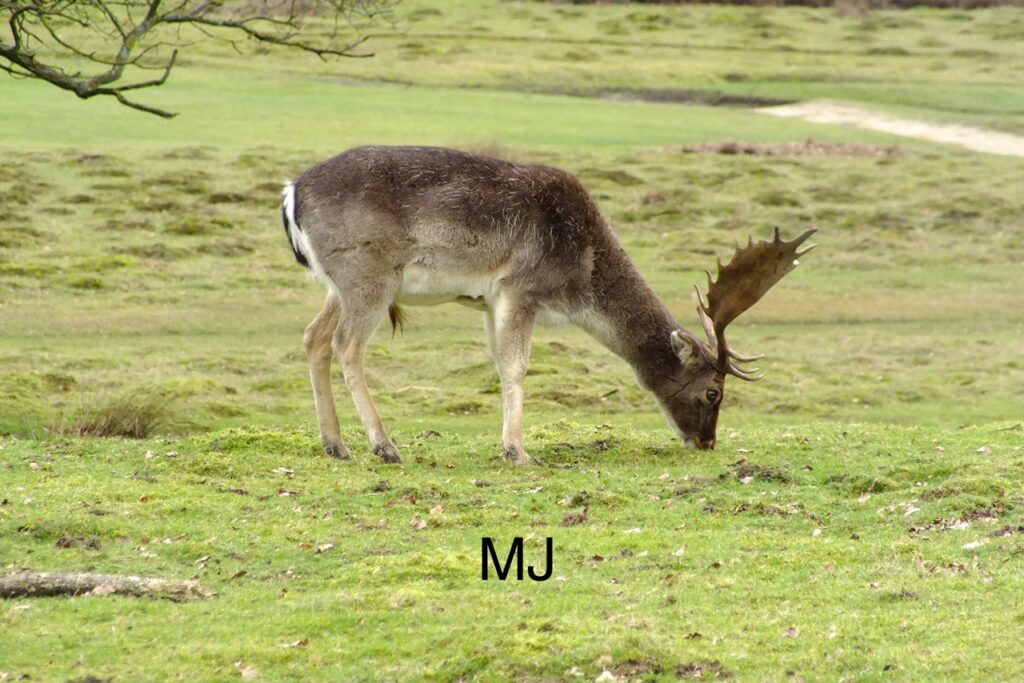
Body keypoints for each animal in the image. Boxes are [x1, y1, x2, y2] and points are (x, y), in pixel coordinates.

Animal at [281, 146, 816, 465]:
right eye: (712, 392)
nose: (707, 442)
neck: (580, 274)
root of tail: (291, 194)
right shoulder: (521, 286)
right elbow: (516, 367)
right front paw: (517, 451)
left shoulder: (488, 301)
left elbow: (501, 364)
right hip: (368, 274)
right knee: (347, 346)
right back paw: (384, 445)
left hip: (338, 285)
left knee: (313, 337)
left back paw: (335, 444)